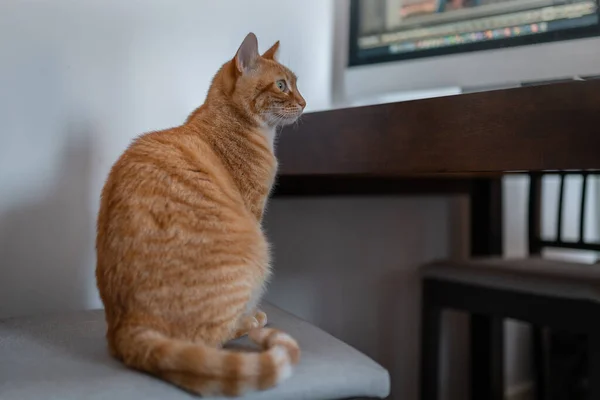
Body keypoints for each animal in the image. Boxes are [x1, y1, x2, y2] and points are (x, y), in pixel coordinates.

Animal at [96, 32, 308, 396]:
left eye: (296, 84)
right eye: (282, 85)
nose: (306, 102)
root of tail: (126, 329)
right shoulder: (253, 210)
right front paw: (253, 314)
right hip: (257, 249)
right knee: (212, 340)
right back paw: (248, 320)